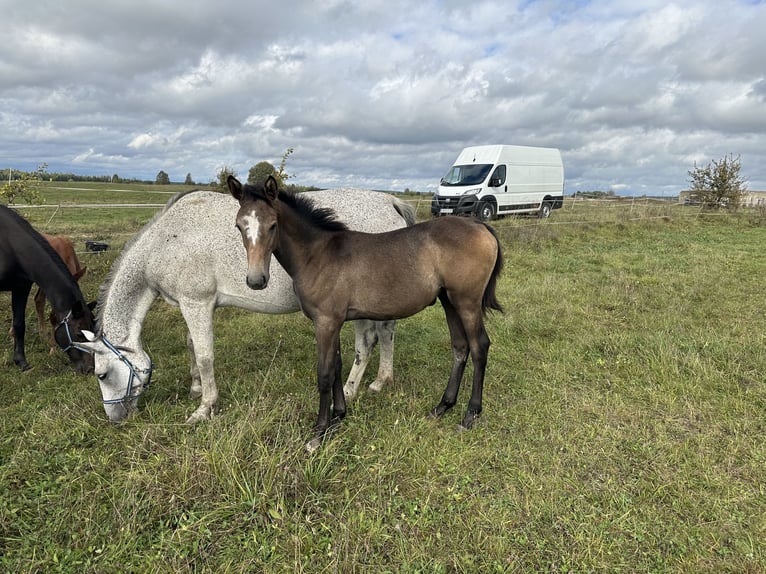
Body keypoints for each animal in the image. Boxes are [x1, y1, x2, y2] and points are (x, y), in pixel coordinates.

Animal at [81, 191, 416, 426]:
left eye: (101, 374)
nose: (115, 419)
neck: (166, 239)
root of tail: (391, 202)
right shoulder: (195, 305)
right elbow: (191, 345)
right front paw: (196, 387)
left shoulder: (196, 302)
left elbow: (204, 355)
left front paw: (204, 408)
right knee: (386, 334)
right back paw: (380, 381)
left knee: (366, 343)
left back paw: (349, 390)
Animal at [228, 177, 504, 454]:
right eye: (239, 226)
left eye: (273, 225)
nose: (256, 280)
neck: (317, 255)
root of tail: (478, 224)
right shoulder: (334, 321)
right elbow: (337, 366)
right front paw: (338, 416)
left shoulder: (325, 322)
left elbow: (325, 373)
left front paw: (318, 433)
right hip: (449, 302)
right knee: (460, 348)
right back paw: (442, 407)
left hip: (467, 303)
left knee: (479, 347)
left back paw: (469, 415)